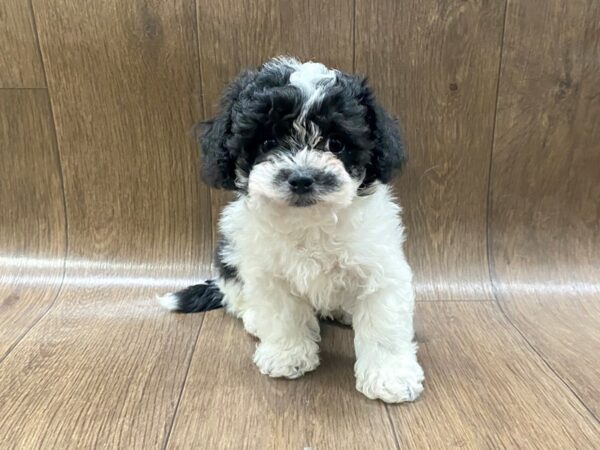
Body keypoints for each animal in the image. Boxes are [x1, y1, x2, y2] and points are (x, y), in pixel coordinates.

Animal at [157, 57, 424, 404]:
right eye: (268, 142)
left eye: (336, 143)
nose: (301, 178)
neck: (309, 221)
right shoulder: (268, 272)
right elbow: (283, 315)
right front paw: (287, 355)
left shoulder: (380, 265)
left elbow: (384, 324)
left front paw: (390, 375)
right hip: (232, 251)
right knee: (235, 295)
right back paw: (254, 318)